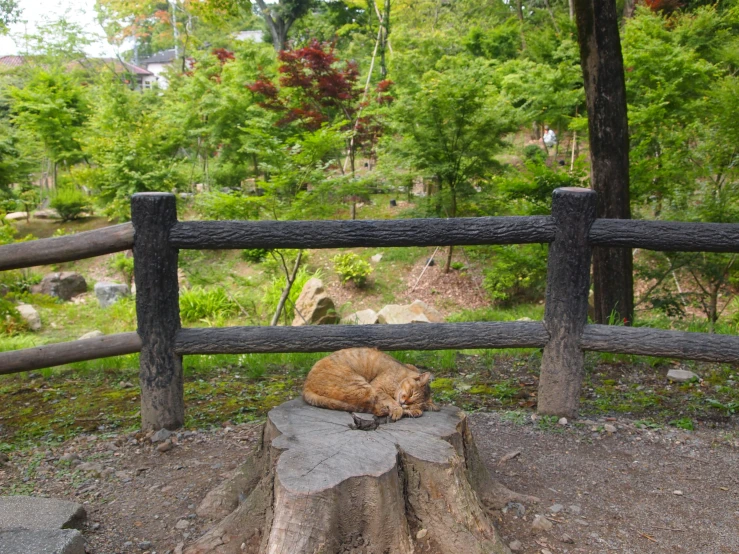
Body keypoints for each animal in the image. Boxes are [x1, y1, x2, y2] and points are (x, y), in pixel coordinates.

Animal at [302, 348, 440, 420]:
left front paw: (413, 410)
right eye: (411, 393)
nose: (405, 403)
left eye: (414, 403)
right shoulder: (378, 387)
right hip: (361, 385)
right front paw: (399, 410)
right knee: (376, 408)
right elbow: (391, 401)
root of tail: (306, 386)